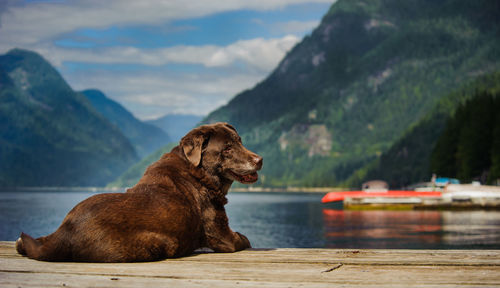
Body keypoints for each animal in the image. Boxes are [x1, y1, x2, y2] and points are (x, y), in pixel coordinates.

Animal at [15, 122, 262, 262]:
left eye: (240, 141)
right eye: (227, 149)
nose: (260, 160)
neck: (197, 171)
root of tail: (66, 231)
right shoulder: (223, 237)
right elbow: (245, 239)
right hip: (158, 243)